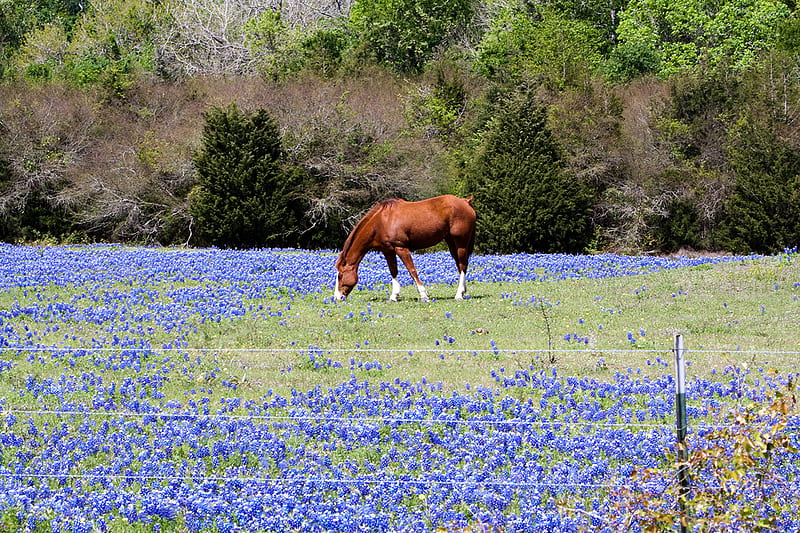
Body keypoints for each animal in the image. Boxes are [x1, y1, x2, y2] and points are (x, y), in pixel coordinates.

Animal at [332, 195, 476, 304]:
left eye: (340, 275)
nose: (337, 297)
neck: (381, 222)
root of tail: (465, 201)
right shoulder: (388, 250)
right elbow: (393, 271)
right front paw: (394, 296)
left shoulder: (401, 248)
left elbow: (412, 270)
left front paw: (423, 294)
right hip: (451, 241)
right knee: (460, 264)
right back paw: (463, 291)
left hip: (461, 242)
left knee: (462, 265)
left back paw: (459, 294)